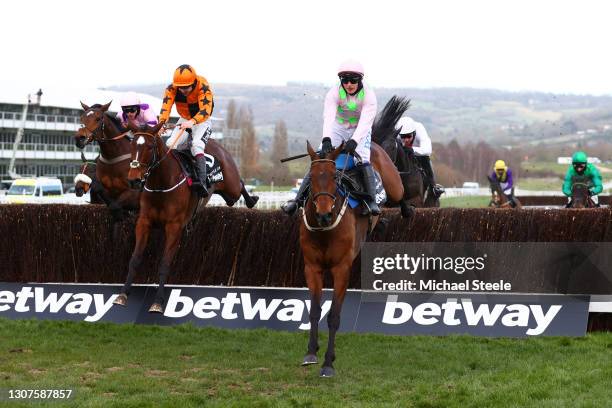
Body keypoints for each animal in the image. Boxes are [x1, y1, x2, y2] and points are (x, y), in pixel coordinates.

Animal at [113, 122, 258, 312]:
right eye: (131, 145)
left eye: (150, 146)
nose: (134, 180)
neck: (162, 183)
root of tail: (218, 145)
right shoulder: (144, 223)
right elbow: (135, 259)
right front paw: (122, 294)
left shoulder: (174, 227)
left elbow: (165, 264)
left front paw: (157, 302)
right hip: (227, 195)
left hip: (231, 186)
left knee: (239, 185)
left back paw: (251, 200)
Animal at [300, 142, 404, 378]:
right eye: (311, 176)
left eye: (334, 177)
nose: (324, 215)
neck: (324, 231)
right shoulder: (312, 268)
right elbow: (315, 311)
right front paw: (311, 352)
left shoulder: (341, 269)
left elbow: (334, 316)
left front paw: (328, 363)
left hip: (394, 183)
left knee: (402, 194)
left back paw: (407, 210)